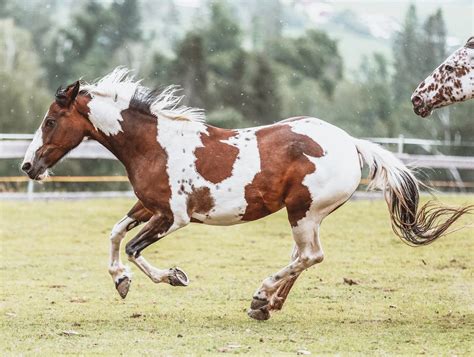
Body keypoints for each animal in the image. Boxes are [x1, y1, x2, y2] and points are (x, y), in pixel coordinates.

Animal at [21, 68, 470, 318]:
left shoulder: (173, 217)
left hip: (303, 211)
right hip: (306, 214)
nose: (28, 166)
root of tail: (351, 144)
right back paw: (265, 306)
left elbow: (133, 247)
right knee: (303, 257)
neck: (154, 144)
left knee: (310, 256)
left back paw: (262, 295)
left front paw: (174, 277)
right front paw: (120, 281)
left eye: (49, 121)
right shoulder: (148, 205)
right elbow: (116, 234)